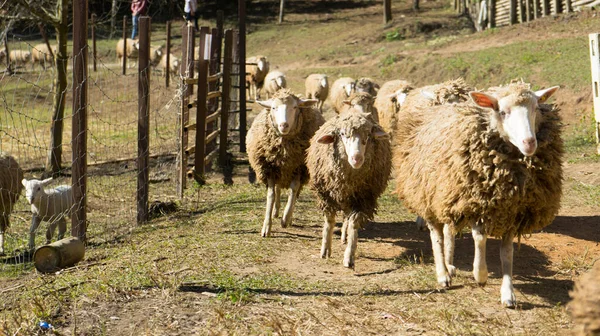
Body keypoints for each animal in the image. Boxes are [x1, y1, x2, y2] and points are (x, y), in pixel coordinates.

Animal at [246, 88, 326, 238]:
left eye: (295, 107)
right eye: (273, 108)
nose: (284, 125)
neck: (284, 151)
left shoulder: (298, 168)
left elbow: (293, 191)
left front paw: (286, 218)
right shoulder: (269, 169)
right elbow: (271, 195)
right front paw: (267, 226)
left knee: (294, 193)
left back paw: (287, 217)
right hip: (279, 171)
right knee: (277, 190)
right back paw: (276, 211)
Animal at [308, 110, 392, 268]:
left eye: (368, 134)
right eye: (342, 134)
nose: (357, 158)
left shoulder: (363, 199)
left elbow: (354, 224)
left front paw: (349, 257)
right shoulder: (325, 196)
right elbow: (329, 222)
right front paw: (325, 249)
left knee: (347, 219)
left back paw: (344, 237)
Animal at [394, 79, 564, 308]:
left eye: (535, 109)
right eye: (503, 112)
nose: (529, 143)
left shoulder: (513, 211)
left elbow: (507, 253)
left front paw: (508, 293)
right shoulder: (477, 203)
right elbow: (480, 238)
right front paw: (480, 274)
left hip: (450, 196)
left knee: (448, 230)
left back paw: (450, 265)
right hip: (427, 194)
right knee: (436, 235)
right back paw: (442, 273)